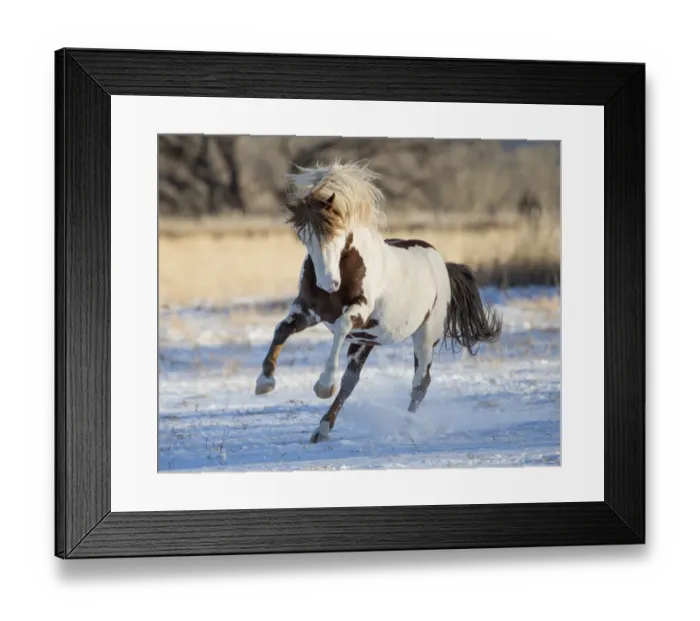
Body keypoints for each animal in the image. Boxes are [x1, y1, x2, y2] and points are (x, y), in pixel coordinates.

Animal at [254, 161, 503, 444]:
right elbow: (281, 329)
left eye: (337, 232)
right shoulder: (309, 311)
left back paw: (405, 427)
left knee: (420, 383)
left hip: (425, 337)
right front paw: (264, 382)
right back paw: (322, 429)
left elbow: (341, 327)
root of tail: (442, 264)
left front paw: (323, 385)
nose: (328, 283)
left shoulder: (357, 313)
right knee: (351, 382)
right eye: (303, 236)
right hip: (365, 342)